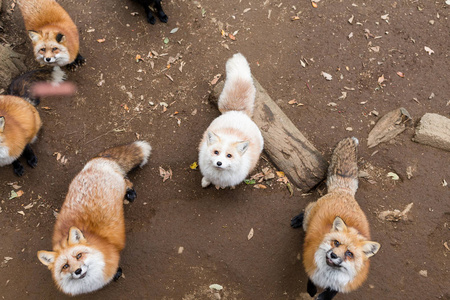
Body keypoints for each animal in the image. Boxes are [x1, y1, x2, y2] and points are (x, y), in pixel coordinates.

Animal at [36, 141, 151, 296]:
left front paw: (117, 273)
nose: (78, 271)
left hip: (121, 184)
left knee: (127, 181)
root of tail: (96, 161)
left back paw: (130, 193)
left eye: (79, 256)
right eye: (65, 266)